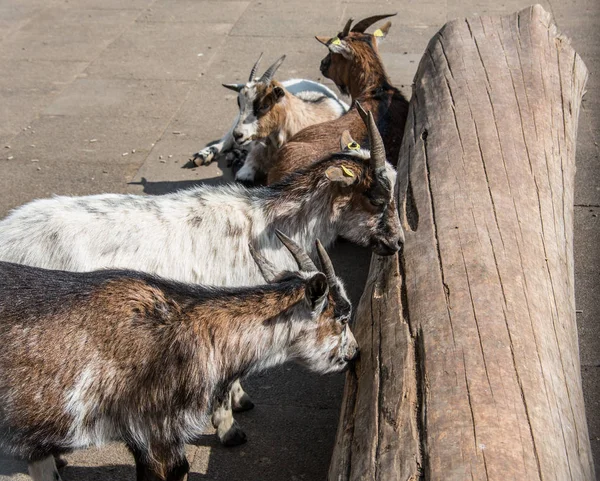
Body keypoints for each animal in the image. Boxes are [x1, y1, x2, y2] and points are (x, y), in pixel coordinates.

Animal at [0, 108, 404, 446]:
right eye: (376, 198)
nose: (398, 243)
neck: (267, 223)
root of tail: (8, 233)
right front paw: (229, 429)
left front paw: (240, 402)